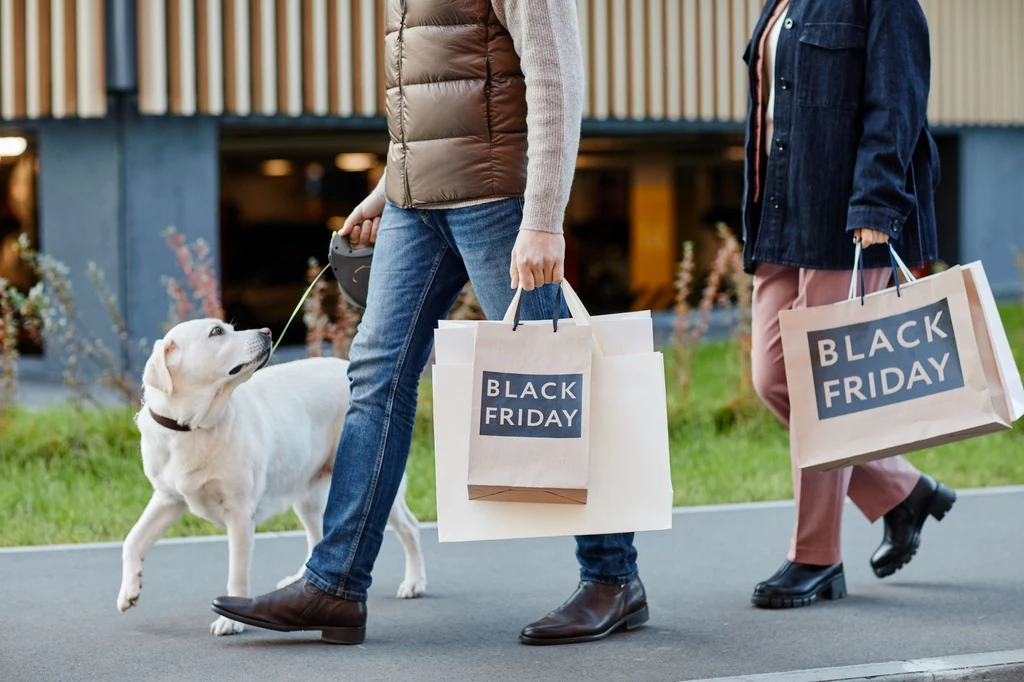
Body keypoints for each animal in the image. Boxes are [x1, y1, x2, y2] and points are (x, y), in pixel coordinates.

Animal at [117, 315, 428, 634]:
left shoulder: (240, 512)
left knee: (410, 527)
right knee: (317, 537)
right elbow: (132, 540)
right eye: (216, 332)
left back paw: (414, 582)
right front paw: (129, 590)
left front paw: (230, 620)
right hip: (306, 494)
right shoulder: (168, 499)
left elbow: (236, 573)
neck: (190, 426)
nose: (267, 331)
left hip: (380, 487)